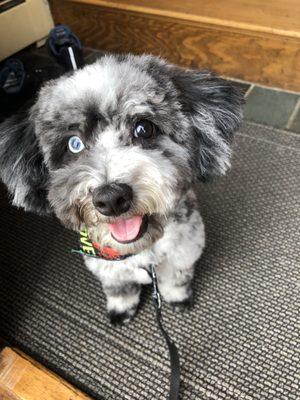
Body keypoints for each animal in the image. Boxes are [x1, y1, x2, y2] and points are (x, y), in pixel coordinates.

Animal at [0, 54, 244, 324]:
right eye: (74, 144)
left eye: (143, 128)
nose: (111, 198)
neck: (140, 253)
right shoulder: (107, 267)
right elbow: (119, 289)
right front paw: (121, 310)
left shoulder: (183, 250)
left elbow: (175, 279)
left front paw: (178, 298)